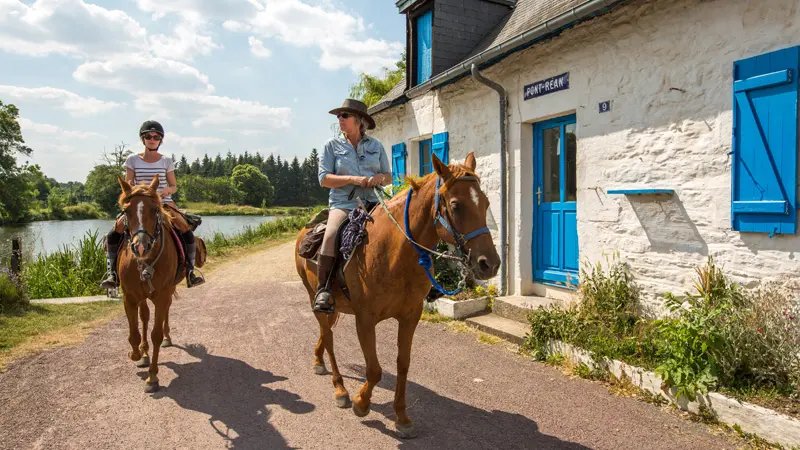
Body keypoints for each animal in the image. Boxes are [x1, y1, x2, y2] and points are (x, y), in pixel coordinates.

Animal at [115, 174, 205, 392]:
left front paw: (153, 377)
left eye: (155, 210)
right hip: (142, 296)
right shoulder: (130, 297)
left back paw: (166, 338)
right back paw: (144, 353)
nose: (141, 247)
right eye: (126, 211)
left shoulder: (162, 295)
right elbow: (134, 333)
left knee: (164, 313)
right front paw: (137, 354)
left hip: (168, 291)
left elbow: (155, 333)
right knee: (145, 317)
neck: (145, 262)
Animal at [296, 153, 500, 438]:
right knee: (330, 339)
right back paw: (341, 390)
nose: (489, 264)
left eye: (486, 202)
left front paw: (402, 417)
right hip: (314, 298)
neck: (394, 253)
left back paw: (318, 361)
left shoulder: (410, 316)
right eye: (456, 205)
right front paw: (361, 403)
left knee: (325, 337)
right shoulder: (365, 319)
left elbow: (403, 364)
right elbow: (374, 370)